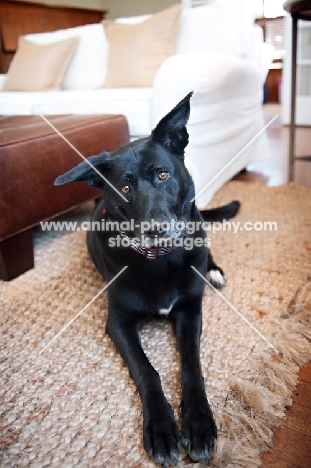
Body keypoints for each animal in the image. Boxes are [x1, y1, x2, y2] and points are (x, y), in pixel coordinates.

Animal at [56, 93, 240, 466]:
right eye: (125, 188)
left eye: (163, 175)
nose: (156, 229)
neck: (160, 260)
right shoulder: (118, 322)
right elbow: (147, 371)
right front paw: (162, 428)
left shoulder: (190, 311)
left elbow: (192, 364)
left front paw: (199, 423)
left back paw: (213, 270)